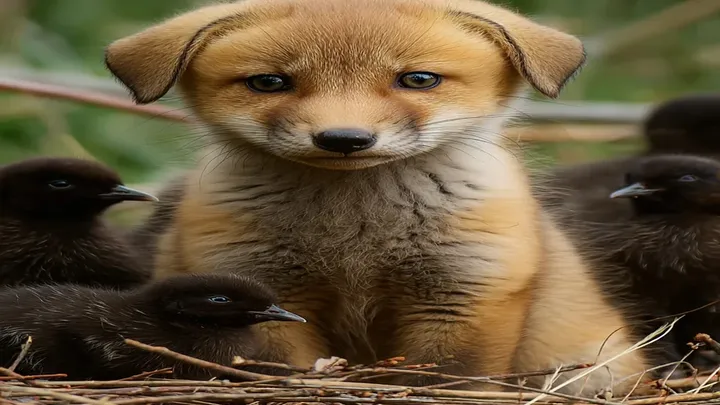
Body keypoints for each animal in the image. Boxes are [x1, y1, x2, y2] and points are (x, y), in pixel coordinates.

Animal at [105, 0, 658, 394]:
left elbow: (441, 380)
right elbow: (287, 369)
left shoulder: (462, 293)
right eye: (268, 82)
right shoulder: (263, 294)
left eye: (418, 79)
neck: (356, 236)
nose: (344, 139)